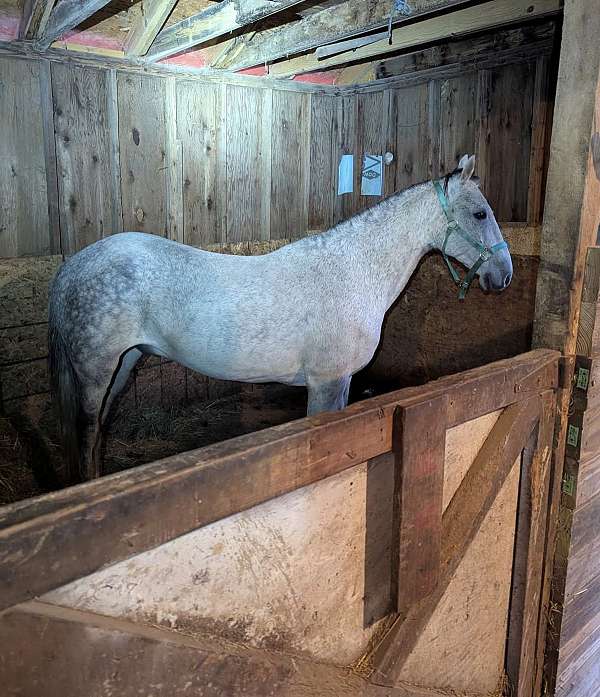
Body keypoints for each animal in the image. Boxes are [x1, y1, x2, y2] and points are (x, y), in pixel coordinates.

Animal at [48, 155, 512, 484]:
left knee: (99, 428)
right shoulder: (327, 381)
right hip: (95, 369)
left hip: (124, 363)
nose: (504, 275)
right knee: (86, 429)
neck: (353, 271)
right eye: (480, 214)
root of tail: (74, 266)